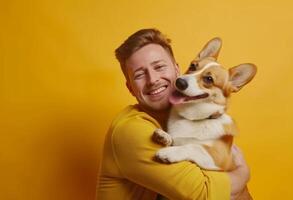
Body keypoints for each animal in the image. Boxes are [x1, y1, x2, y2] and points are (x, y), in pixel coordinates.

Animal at [153, 38, 256, 172]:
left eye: (209, 79)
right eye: (192, 66)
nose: (179, 82)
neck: (193, 118)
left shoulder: (219, 158)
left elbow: (193, 146)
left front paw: (169, 153)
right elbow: (175, 140)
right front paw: (164, 136)